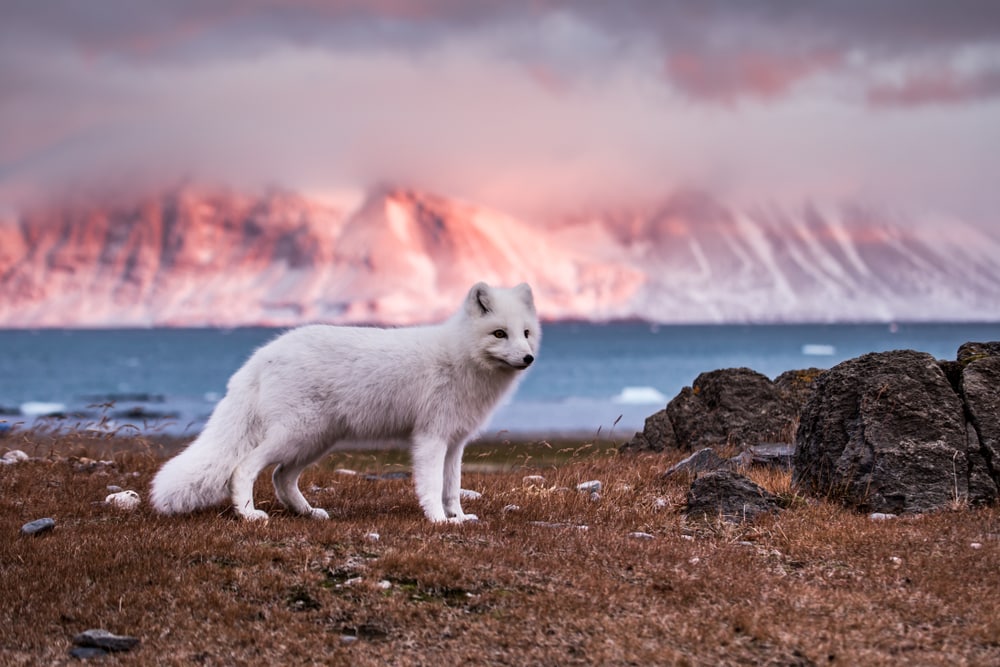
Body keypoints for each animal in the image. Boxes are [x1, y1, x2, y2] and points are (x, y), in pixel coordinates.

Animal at [149, 282, 540, 523]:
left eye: (526, 333)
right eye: (499, 333)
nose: (528, 358)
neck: (462, 357)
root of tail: (262, 355)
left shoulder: (455, 441)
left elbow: (453, 487)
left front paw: (458, 517)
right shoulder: (431, 438)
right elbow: (431, 486)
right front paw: (438, 521)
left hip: (316, 440)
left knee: (280, 477)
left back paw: (308, 513)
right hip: (297, 435)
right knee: (244, 468)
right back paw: (248, 514)